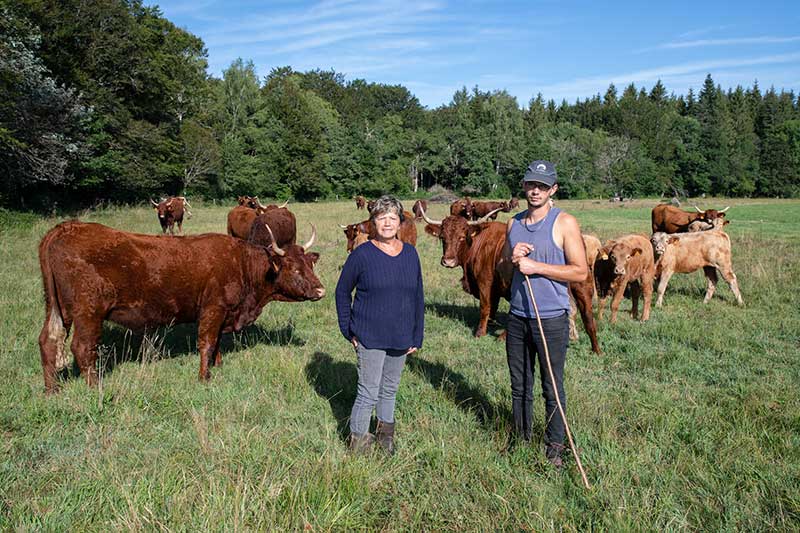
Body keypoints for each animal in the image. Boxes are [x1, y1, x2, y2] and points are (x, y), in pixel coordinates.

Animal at [36, 219, 324, 390]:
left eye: (310, 265)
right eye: (294, 269)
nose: (321, 290)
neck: (241, 263)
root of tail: (66, 227)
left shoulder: (223, 313)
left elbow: (217, 343)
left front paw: (217, 365)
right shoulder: (213, 309)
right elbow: (207, 342)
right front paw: (204, 377)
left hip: (59, 309)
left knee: (48, 340)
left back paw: (52, 390)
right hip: (88, 312)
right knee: (82, 347)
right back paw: (95, 387)